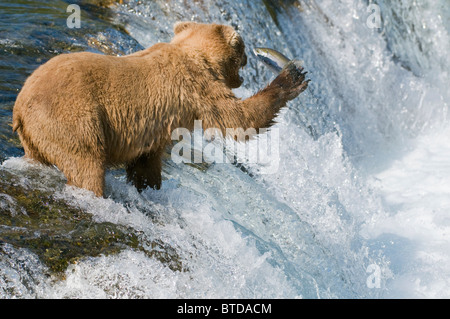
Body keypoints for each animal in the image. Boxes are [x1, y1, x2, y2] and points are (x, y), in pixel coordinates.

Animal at [14, 21, 310, 198]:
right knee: (86, 164)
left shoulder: (155, 129)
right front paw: (292, 78)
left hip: (36, 137)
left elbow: (146, 162)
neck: (199, 55)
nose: (249, 61)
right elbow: (237, 120)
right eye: (244, 50)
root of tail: (20, 106)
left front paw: (148, 187)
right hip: (74, 119)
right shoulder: (198, 87)